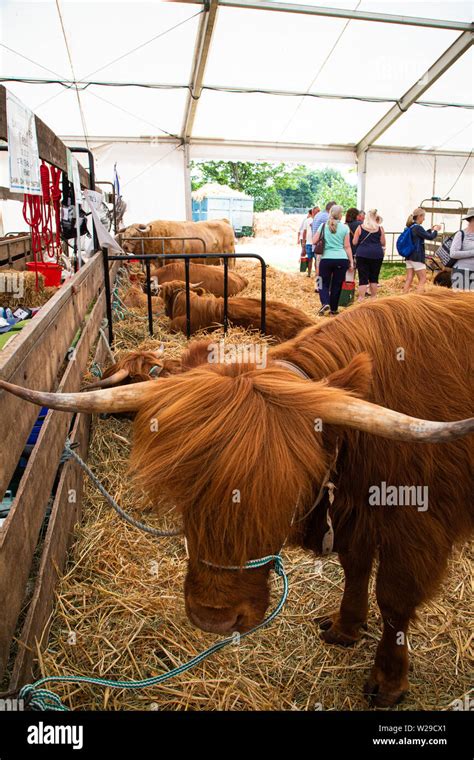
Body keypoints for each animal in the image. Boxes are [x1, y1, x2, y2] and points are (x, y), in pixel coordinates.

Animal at [1, 290, 472, 708]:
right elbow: (354, 568)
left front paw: (388, 682)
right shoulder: (354, 515)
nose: (213, 619)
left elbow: (393, 602)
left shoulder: (415, 530)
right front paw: (345, 628)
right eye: (182, 489)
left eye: (284, 492)